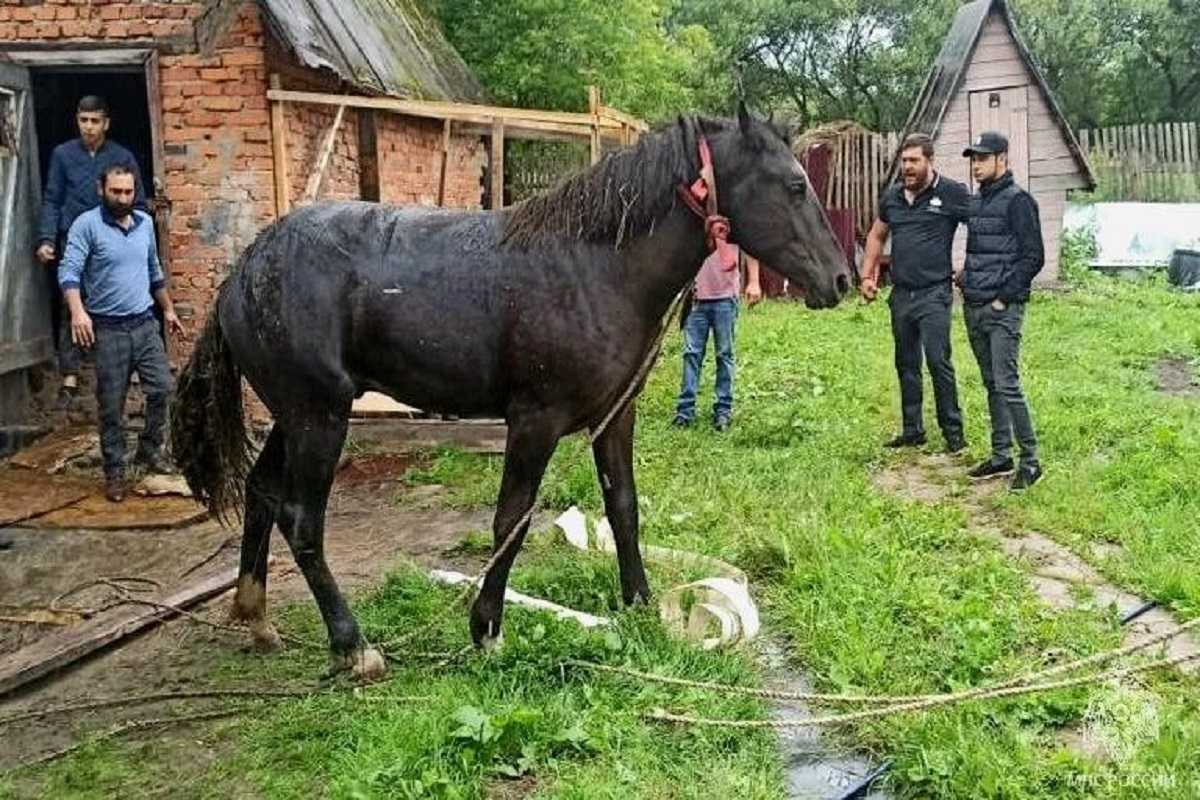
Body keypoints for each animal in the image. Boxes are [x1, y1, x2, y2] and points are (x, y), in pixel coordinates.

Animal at [174, 106, 849, 681]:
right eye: (794, 186)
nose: (841, 280)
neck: (593, 265)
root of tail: (242, 273)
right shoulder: (535, 421)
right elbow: (512, 521)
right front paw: (486, 630)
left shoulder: (614, 417)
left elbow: (624, 509)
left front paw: (639, 606)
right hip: (320, 417)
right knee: (302, 520)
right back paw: (353, 646)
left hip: (294, 417)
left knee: (262, 494)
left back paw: (256, 618)